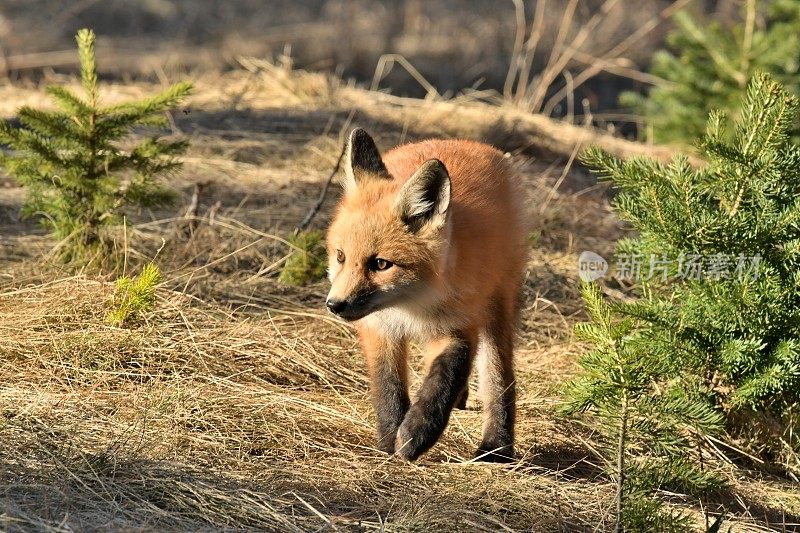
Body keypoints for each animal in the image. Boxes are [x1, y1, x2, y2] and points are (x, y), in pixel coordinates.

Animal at [324, 129, 532, 462]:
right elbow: (388, 387)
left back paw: (496, 448)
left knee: (498, 378)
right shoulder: (379, 328)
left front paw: (416, 434)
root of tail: (461, 141)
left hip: (497, 307)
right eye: (341, 256)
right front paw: (388, 442)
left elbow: (444, 380)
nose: (335, 305)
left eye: (380, 264)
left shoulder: (459, 326)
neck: (411, 306)